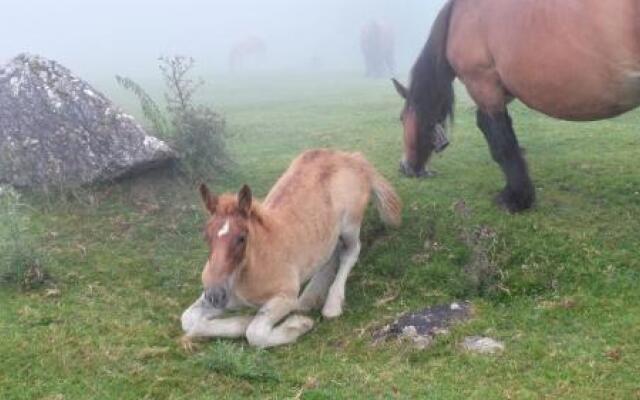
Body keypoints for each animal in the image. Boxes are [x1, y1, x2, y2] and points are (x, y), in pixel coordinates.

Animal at [180, 149, 400, 346]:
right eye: (206, 235)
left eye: (242, 238)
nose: (215, 295)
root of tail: (352, 158)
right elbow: (188, 319)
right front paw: (241, 321)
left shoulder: (285, 297)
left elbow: (255, 333)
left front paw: (297, 324)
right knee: (330, 252)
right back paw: (311, 296)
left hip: (350, 225)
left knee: (351, 252)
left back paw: (331, 304)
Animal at [392, 0, 640, 212]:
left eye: (402, 119)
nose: (404, 168)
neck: (459, 19)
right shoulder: (502, 90)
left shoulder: (482, 83)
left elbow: (500, 141)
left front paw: (516, 199)